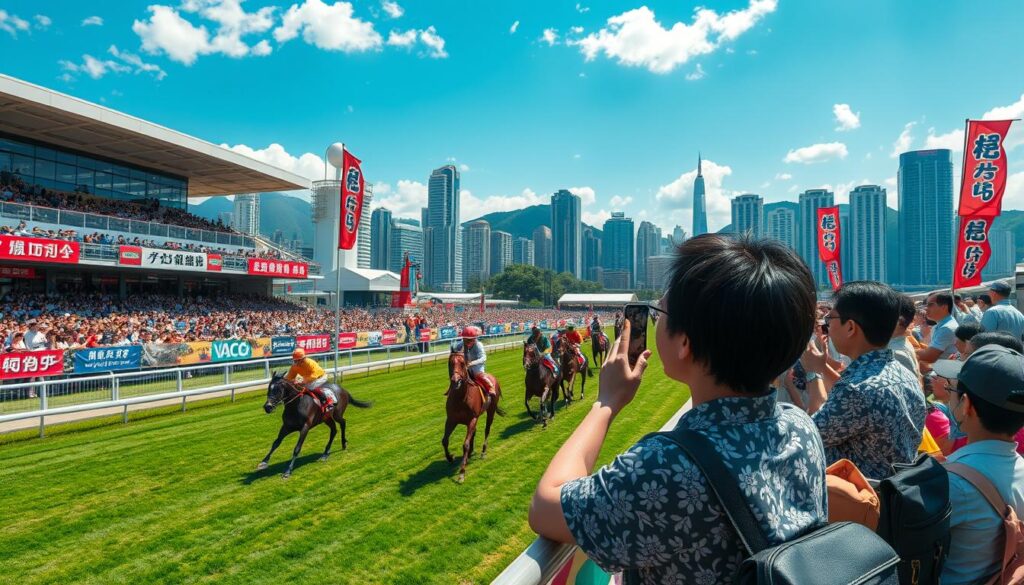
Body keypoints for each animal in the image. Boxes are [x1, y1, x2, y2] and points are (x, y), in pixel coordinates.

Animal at [442, 350, 505, 483]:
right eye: (450, 363)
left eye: (462, 364)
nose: (455, 381)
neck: (461, 399)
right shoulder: (451, 420)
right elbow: (445, 440)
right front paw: (450, 457)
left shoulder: (472, 419)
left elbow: (465, 444)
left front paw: (462, 472)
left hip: (490, 410)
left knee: (487, 430)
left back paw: (483, 452)